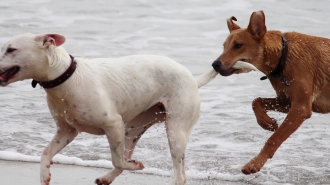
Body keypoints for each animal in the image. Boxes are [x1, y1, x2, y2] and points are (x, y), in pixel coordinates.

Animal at [0, 33, 219, 185]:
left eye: (11, 49)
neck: (67, 78)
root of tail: (193, 80)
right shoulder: (66, 131)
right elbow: (45, 153)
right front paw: (44, 174)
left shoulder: (113, 125)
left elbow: (117, 159)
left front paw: (136, 165)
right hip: (133, 129)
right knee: (127, 153)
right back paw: (106, 178)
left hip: (175, 131)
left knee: (179, 173)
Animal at [211, 10, 330, 175]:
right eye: (224, 46)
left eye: (238, 45)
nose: (215, 64)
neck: (283, 57)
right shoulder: (287, 101)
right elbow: (256, 101)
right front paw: (267, 122)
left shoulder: (301, 108)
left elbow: (274, 139)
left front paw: (255, 163)